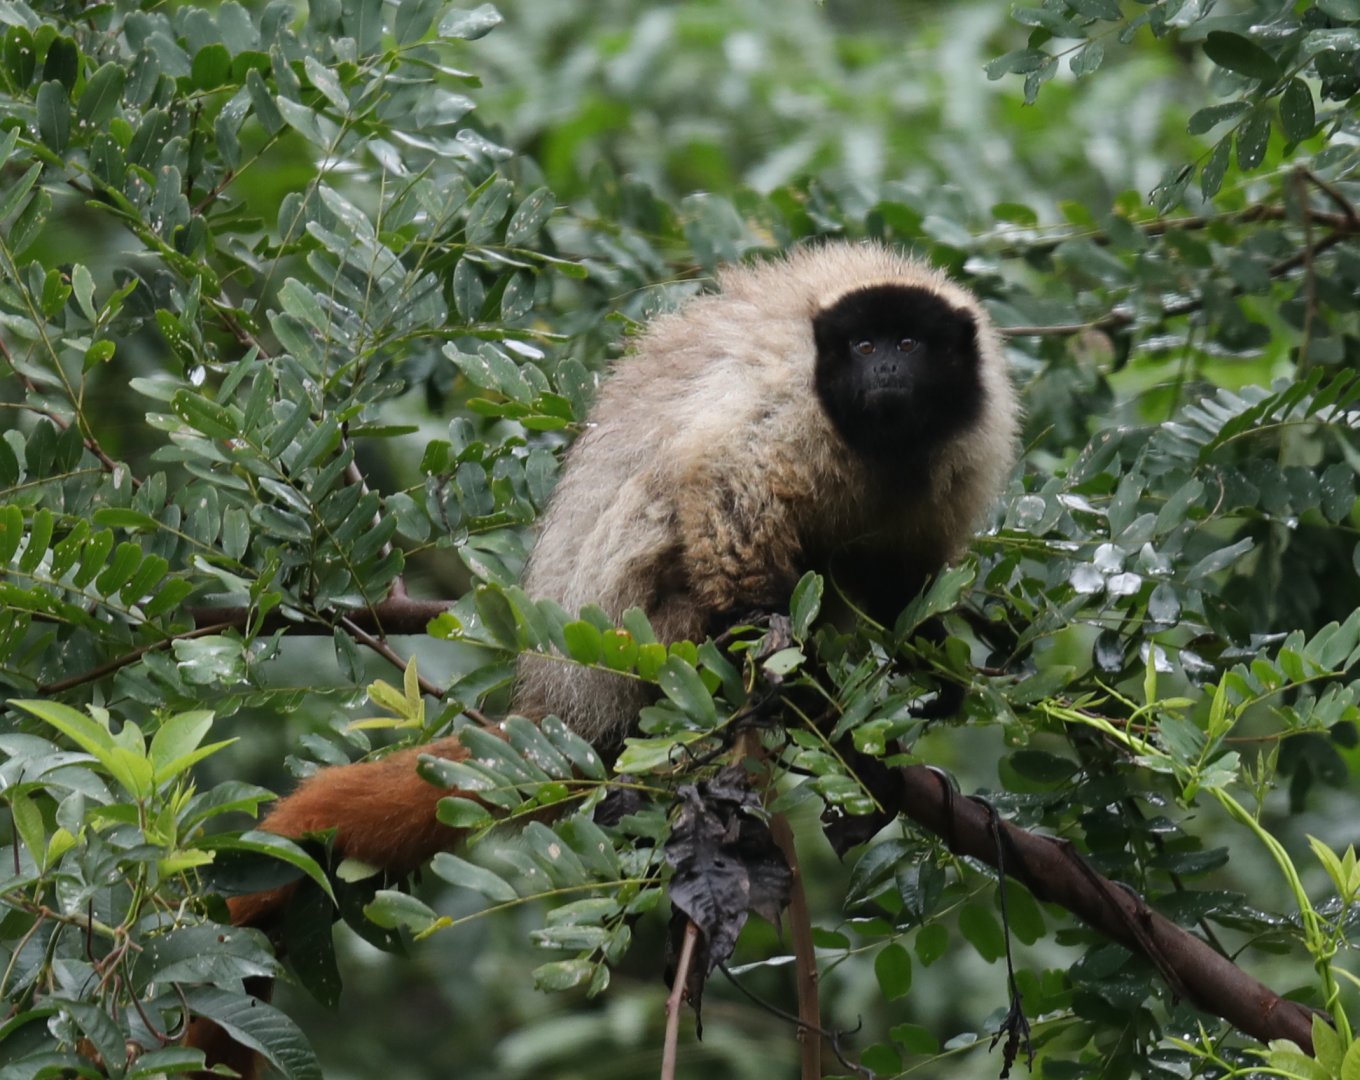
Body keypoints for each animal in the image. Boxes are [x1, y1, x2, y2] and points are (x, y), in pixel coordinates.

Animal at [187, 241, 1018, 1074]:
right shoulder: (790, 401)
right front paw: (776, 641)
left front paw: (940, 666)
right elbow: (721, 480)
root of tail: (564, 703)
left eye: (908, 344)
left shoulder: (966, 445)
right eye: (866, 346)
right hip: (642, 634)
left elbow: (905, 577)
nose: (887, 369)